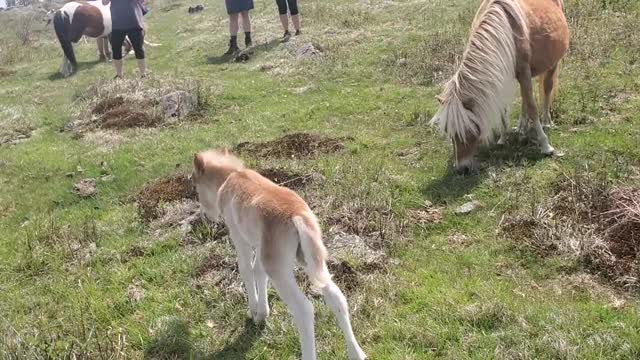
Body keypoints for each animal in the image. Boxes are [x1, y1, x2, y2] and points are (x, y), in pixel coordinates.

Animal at [191, 149, 364, 360]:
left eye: (197, 187)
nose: (205, 216)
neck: (232, 177)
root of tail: (298, 215)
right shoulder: (261, 246)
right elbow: (258, 271)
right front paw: (262, 314)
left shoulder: (239, 237)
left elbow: (246, 270)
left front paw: (253, 312)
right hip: (310, 259)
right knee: (336, 297)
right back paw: (357, 353)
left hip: (279, 269)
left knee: (305, 310)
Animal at [430, 0, 568, 174]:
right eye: (449, 131)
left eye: (469, 130)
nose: (462, 169)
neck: (505, 28)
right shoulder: (503, 74)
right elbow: (504, 108)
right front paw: (503, 137)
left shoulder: (524, 71)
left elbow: (532, 108)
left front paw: (545, 145)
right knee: (525, 98)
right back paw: (521, 128)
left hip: (552, 64)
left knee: (547, 89)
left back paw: (546, 122)